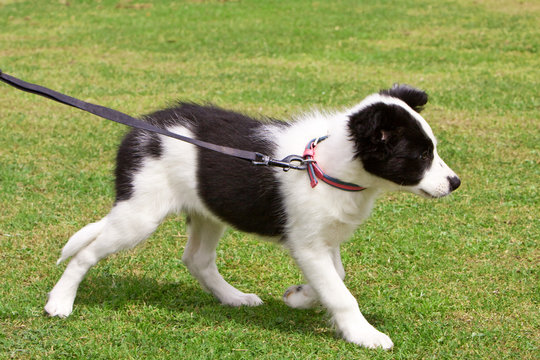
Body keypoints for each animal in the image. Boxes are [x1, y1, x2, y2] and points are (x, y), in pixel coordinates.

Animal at [44, 84, 462, 348]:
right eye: (421, 155)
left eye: (433, 149)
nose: (455, 182)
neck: (325, 165)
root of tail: (138, 132)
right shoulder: (308, 244)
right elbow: (341, 294)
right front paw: (364, 335)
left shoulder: (324, 237)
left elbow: (337, 277)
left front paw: (300, 297)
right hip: (140, 215)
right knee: (86, 253)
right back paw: (59, 302)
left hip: (208, 211)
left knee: (196, 259)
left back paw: (234, 298)